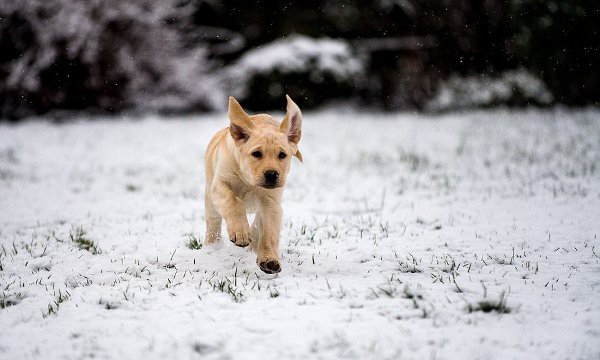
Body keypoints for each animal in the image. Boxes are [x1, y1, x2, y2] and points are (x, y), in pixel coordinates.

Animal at [204, 95, 302, 272]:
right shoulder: (219, 184)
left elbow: (269, 231)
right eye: (256, 153)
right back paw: (211, 247)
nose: (272, 175)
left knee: (258, 225)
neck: (248, 181)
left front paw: (269, 259)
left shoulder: (271, 203)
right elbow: (233, 201)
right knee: (213, 221)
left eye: (282, 155)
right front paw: (240, 232)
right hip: (210, 198)